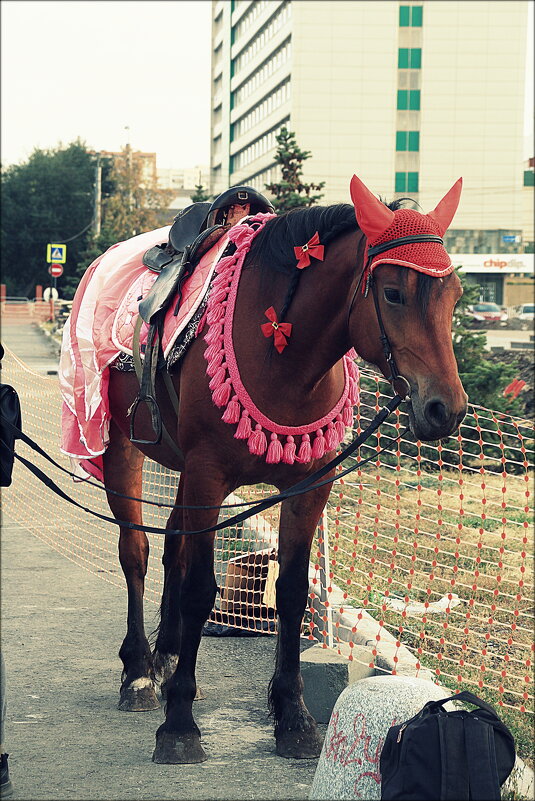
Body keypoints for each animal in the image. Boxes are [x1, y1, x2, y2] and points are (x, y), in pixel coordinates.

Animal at [89, 173, 468, 764]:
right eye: (393, 292)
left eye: (454, 295)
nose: (445, 409)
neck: (284, 353)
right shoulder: (208, 477)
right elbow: (200, 588)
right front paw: (180, 724)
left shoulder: (308, 486)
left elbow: (290, 590)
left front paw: (293, 716)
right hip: (123, 447)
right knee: (138, 551)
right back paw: (139, 673)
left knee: (173, 547)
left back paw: (167, 656)